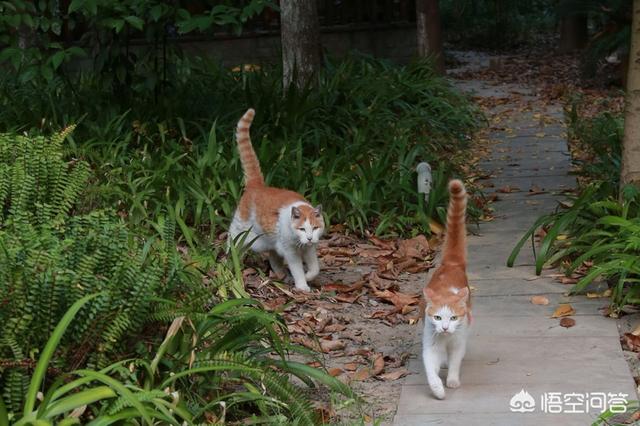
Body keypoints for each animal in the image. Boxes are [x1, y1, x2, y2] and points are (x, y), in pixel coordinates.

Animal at [229, 108, 324, 292]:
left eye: (315, 228)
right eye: (302, 229)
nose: (309, 238)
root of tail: (257, 185)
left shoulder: (309, 250)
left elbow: (315, 268)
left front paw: (309, 276)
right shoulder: (290, 252)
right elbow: (297, 269)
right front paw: (302, 285)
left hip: (269, 241)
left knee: (274, 258)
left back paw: (281, 274)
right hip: (242, 229)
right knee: (231, 236)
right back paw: (230, 255)